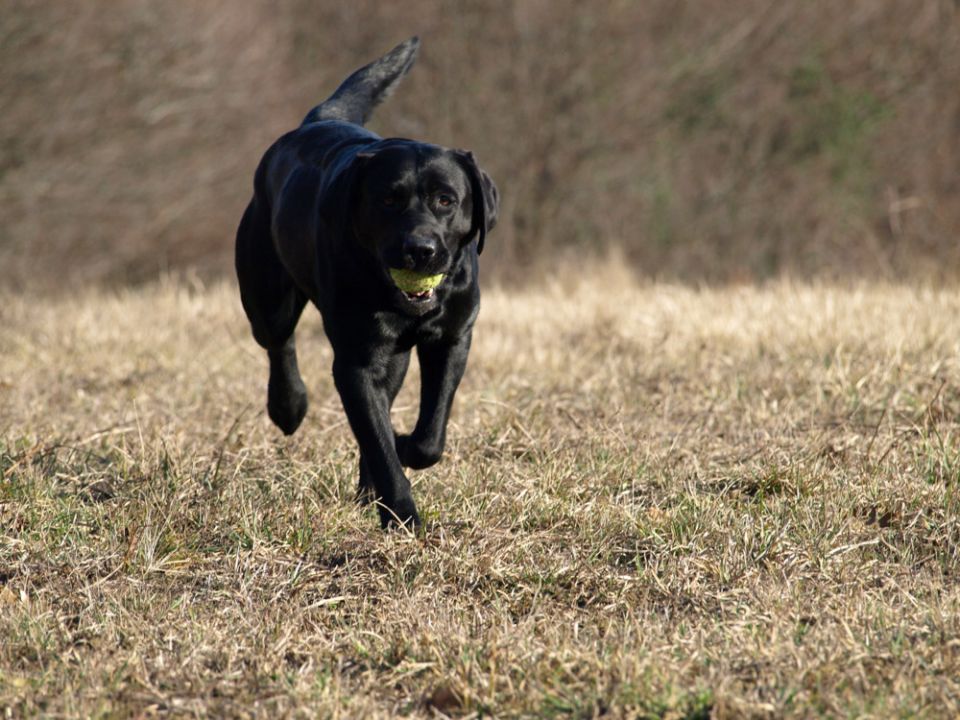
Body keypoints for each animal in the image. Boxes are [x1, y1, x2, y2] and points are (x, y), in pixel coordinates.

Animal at [236, 36, 498, 524]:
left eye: (446, 200)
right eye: (388, 200)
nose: (420, 248)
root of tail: (319, 119)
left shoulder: (452, 338)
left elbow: (428, 436)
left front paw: (404, 448)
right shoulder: (356, 361)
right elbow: (377, 439)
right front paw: (403, 516)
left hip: (394, 357)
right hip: (266, 294)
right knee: (279, 341)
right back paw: (289, 406)